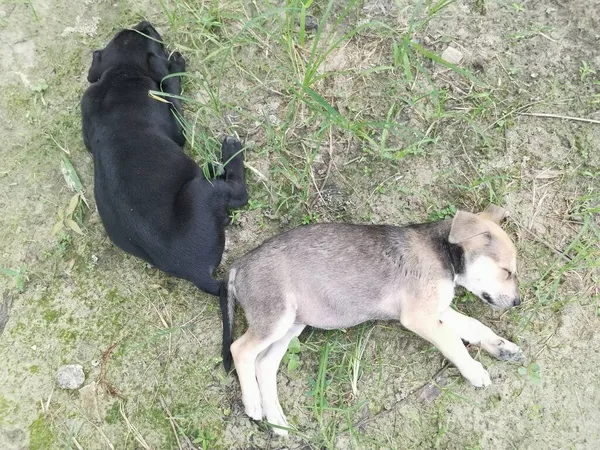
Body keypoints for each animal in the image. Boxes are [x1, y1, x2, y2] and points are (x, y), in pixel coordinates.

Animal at [81, 22, 247, 296]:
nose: (144, 22)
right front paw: (176, 64)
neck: (120, 72)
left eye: (123, 33)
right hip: (198, 190)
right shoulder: (176, 125)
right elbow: (172, 89)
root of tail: (197, 273)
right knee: (239, 194)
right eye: (153, 37)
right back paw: (231, 153)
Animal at [221, 207, 524, 436]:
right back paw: (253, 404)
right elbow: (453, 342)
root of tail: (239, 265)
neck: (443, 251)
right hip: (276, 317)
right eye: (507, 272)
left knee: (264, 364)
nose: (518, 302)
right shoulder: (420, 316)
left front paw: (503, 347)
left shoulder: (437, 310)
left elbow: (474, 326)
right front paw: (473, 370)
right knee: (240, 349)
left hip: (291, 325)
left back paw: (276, 420)